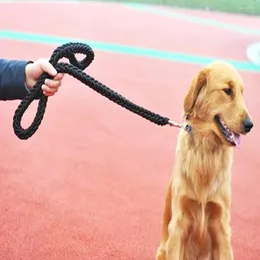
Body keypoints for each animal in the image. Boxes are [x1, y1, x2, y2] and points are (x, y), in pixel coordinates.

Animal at [155, 61, 253, 260]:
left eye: (241, 92)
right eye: (228, 90)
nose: (250, 125)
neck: (206, 152)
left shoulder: (221, 225)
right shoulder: (179, 224)